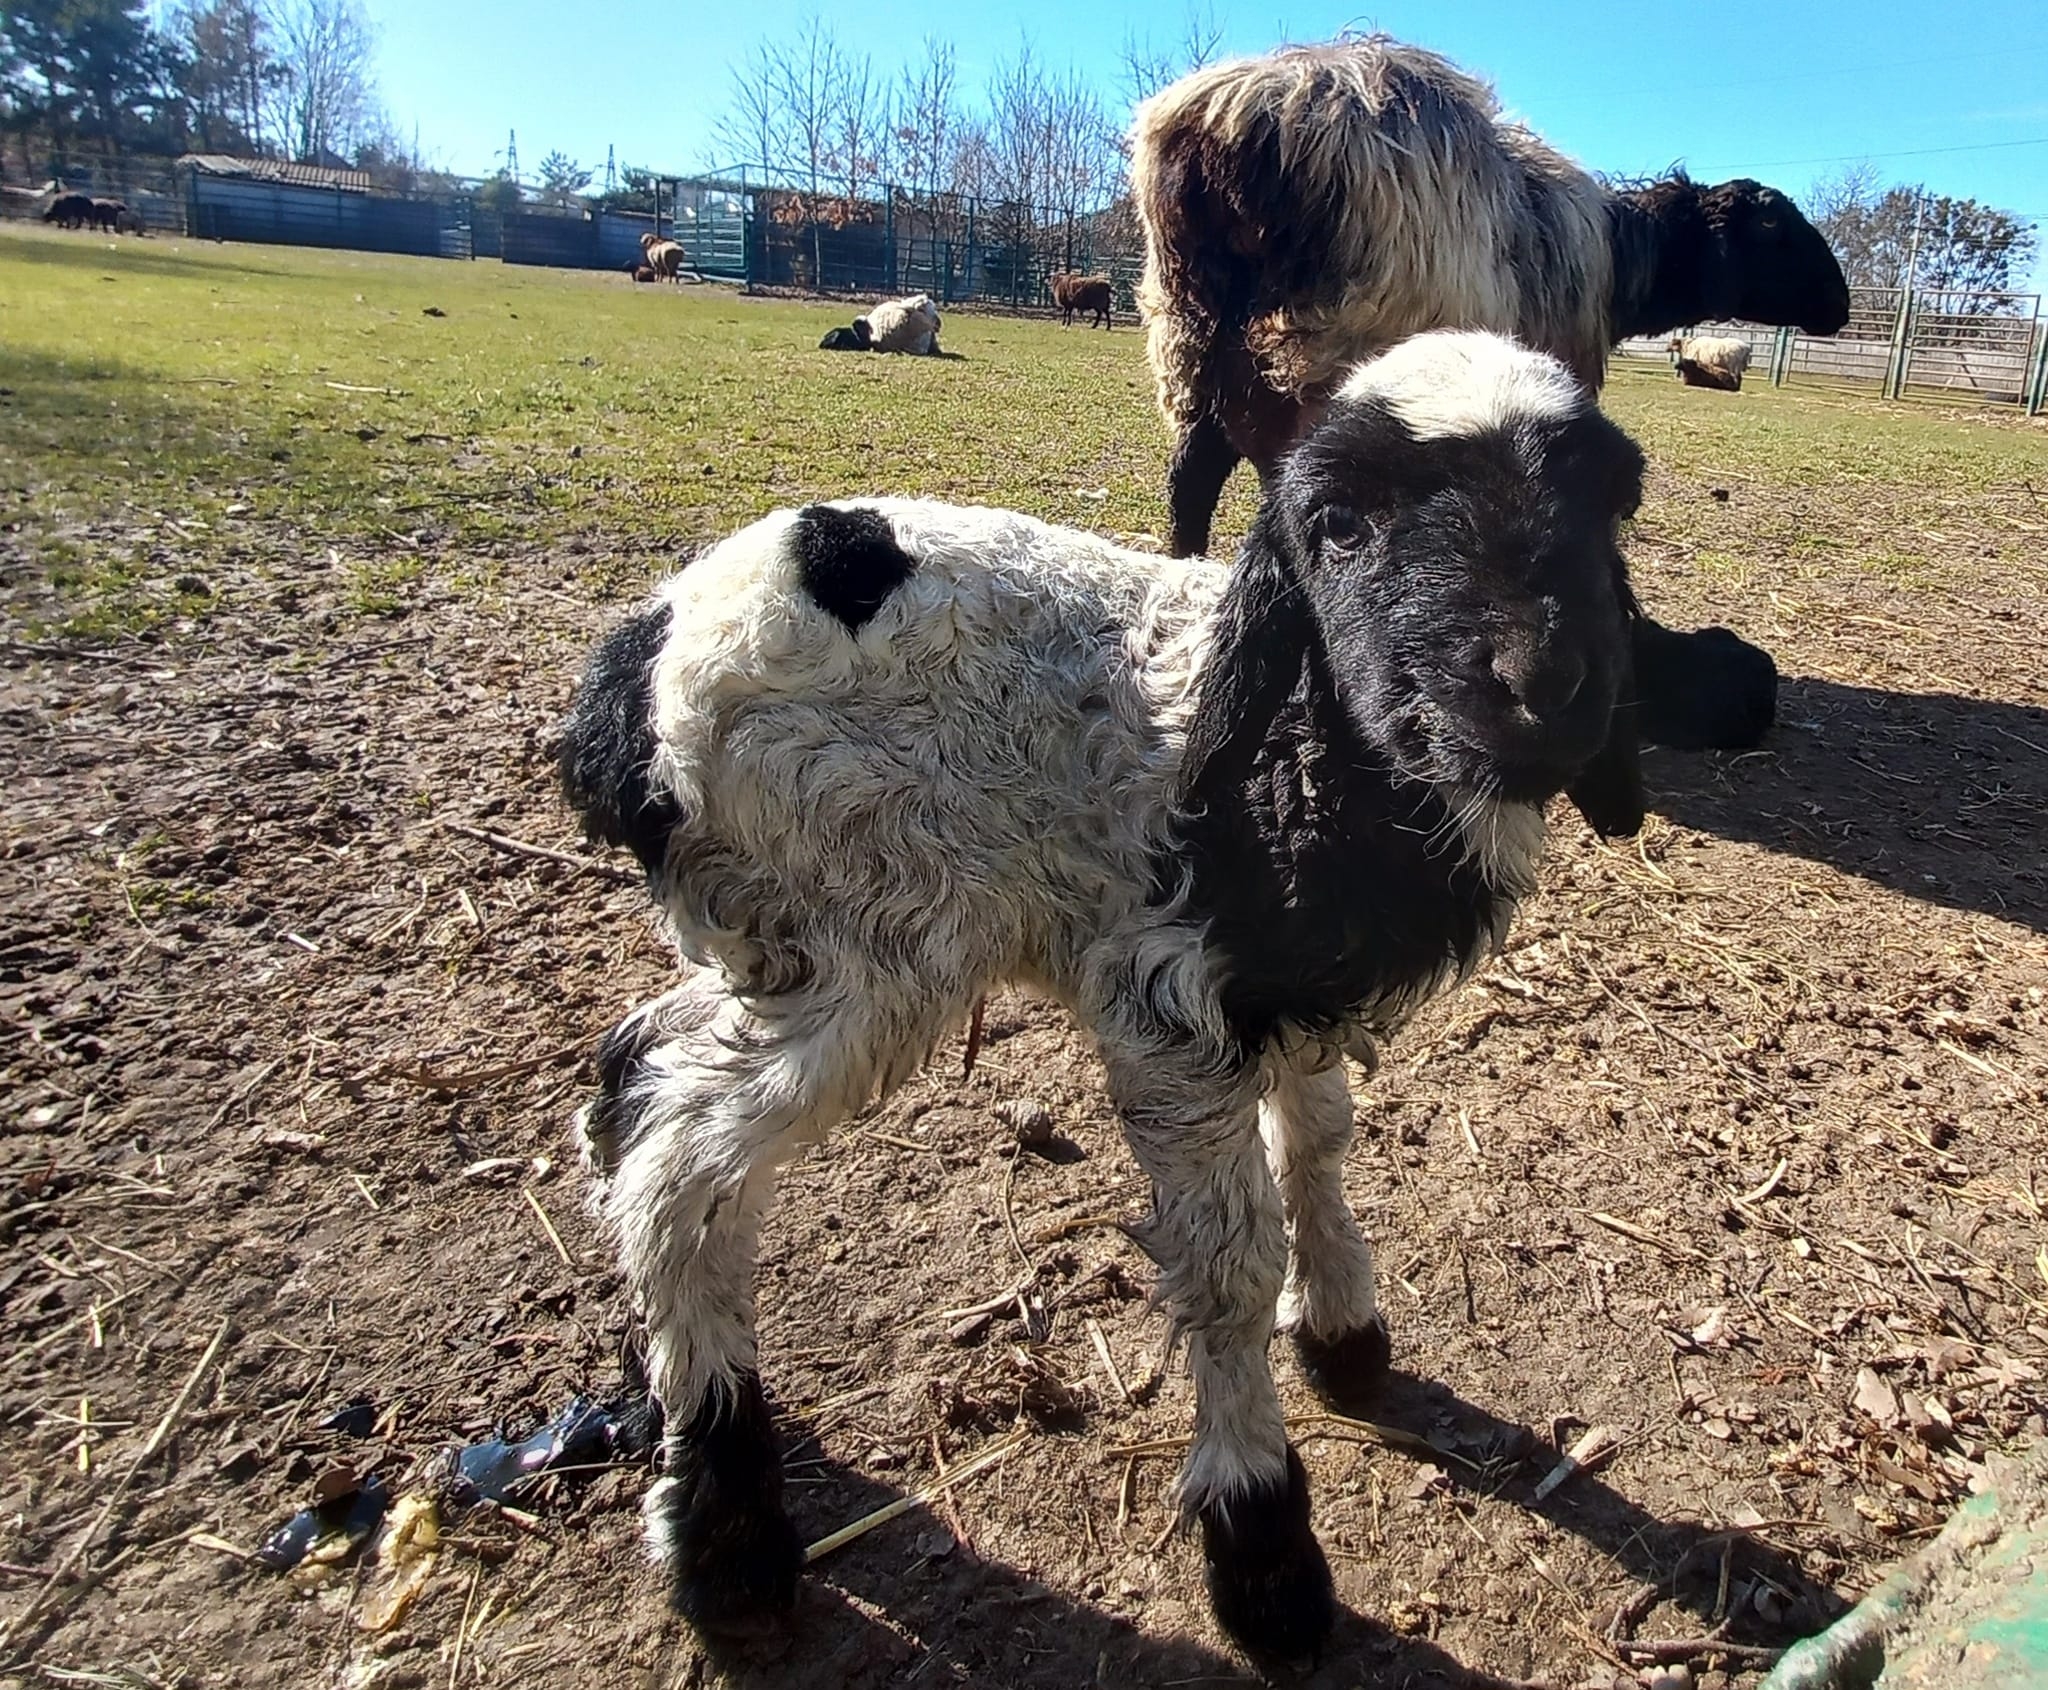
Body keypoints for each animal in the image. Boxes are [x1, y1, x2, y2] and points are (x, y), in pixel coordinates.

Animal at [552, 333, 1654, 1663]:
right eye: (1335, 527)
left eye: (1609, 503)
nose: (1539, 686)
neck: (1295, 759)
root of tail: (630, 677)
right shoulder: (1164, 1012)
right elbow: (1226, 1269)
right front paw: (1262, 1548)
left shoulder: (1281, 994)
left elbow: (1317, 1138)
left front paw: (1342, 1332)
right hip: (866, 930)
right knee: (682, 1162)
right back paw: (730, 1537)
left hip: (771, 943)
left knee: (633, 1076)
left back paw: (654, 1388)